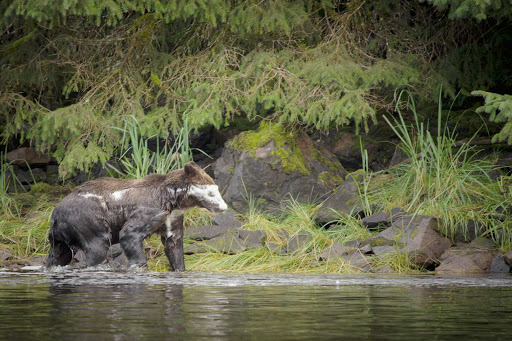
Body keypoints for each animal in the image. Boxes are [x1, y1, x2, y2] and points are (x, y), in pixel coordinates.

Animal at [45, 161, 226, 270]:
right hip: (86, 220)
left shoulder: (172, 218)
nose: (223, 207)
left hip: (58, 237)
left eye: (216, 189)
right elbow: (130, 234)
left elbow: (174, 244)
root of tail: (55, 214)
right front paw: (137, 264)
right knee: (98, 246)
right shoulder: (149, 210)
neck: (171, 200)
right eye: (211, 192)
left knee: (57, 255)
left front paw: (179, 267)